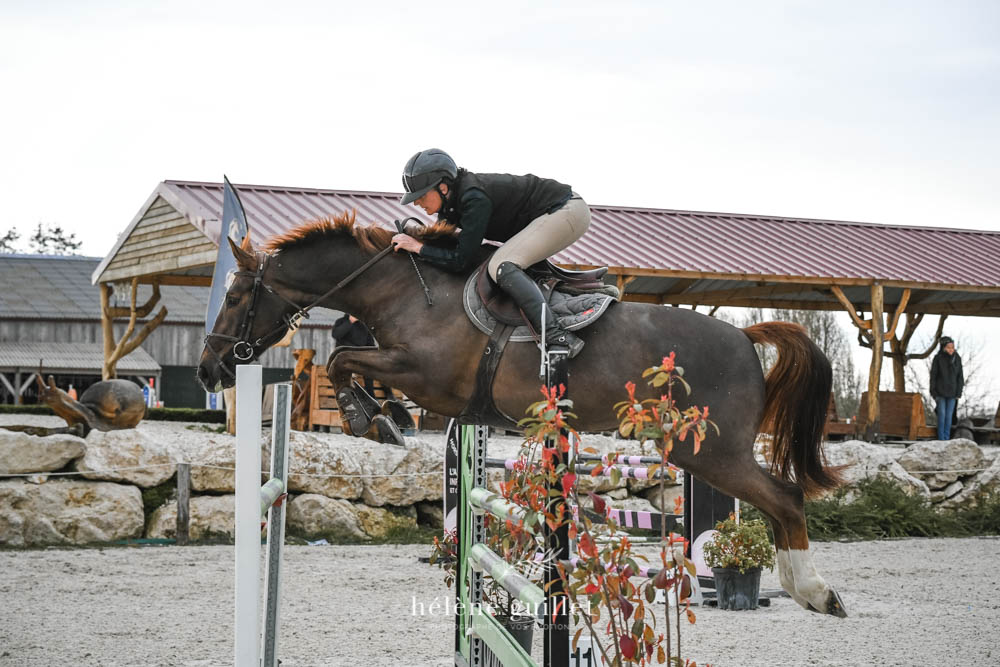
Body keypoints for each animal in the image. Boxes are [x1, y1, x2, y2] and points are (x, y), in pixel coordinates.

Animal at [199, 211, 848, 620]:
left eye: (234, 296)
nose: (209, 370)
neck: (402, 291)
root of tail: (745, 336)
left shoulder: (429, 377)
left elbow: (341, 357)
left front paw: (369, 419)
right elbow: (345, 357)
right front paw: (382, 416)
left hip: (712, 451)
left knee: (786, 499)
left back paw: (816, 592)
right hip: (705, 452)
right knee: (780, 503)